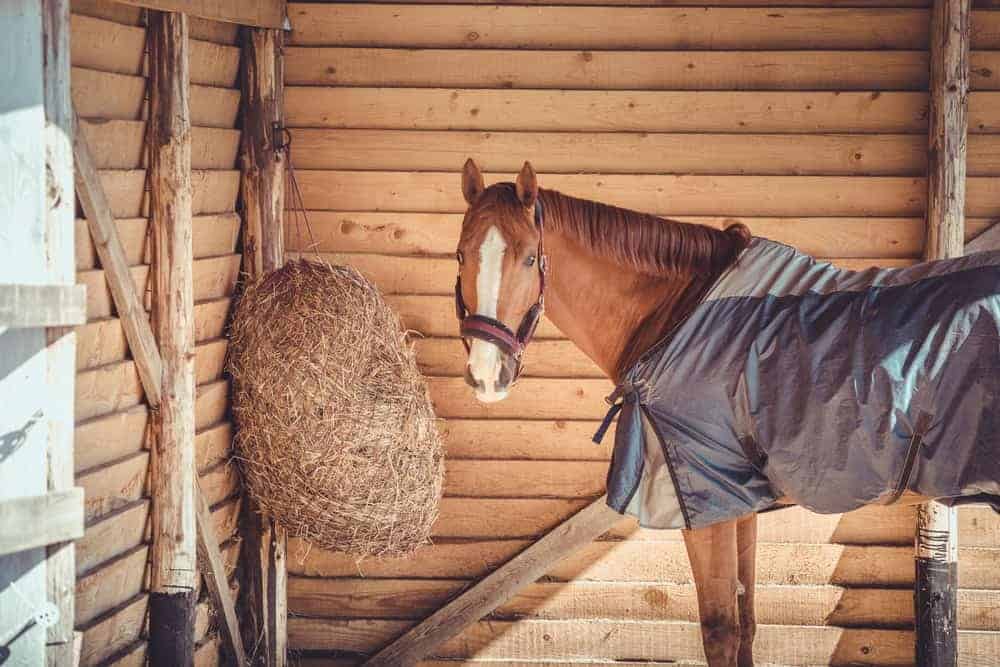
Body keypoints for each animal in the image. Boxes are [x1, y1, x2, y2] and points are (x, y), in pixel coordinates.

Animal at [456, 159, 1000, 664]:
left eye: (530, 257)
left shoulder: (706, 500)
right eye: (460, 253)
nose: (487, 374)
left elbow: (719, 628)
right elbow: (747, 621)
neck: (681, 316)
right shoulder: (739, 500)